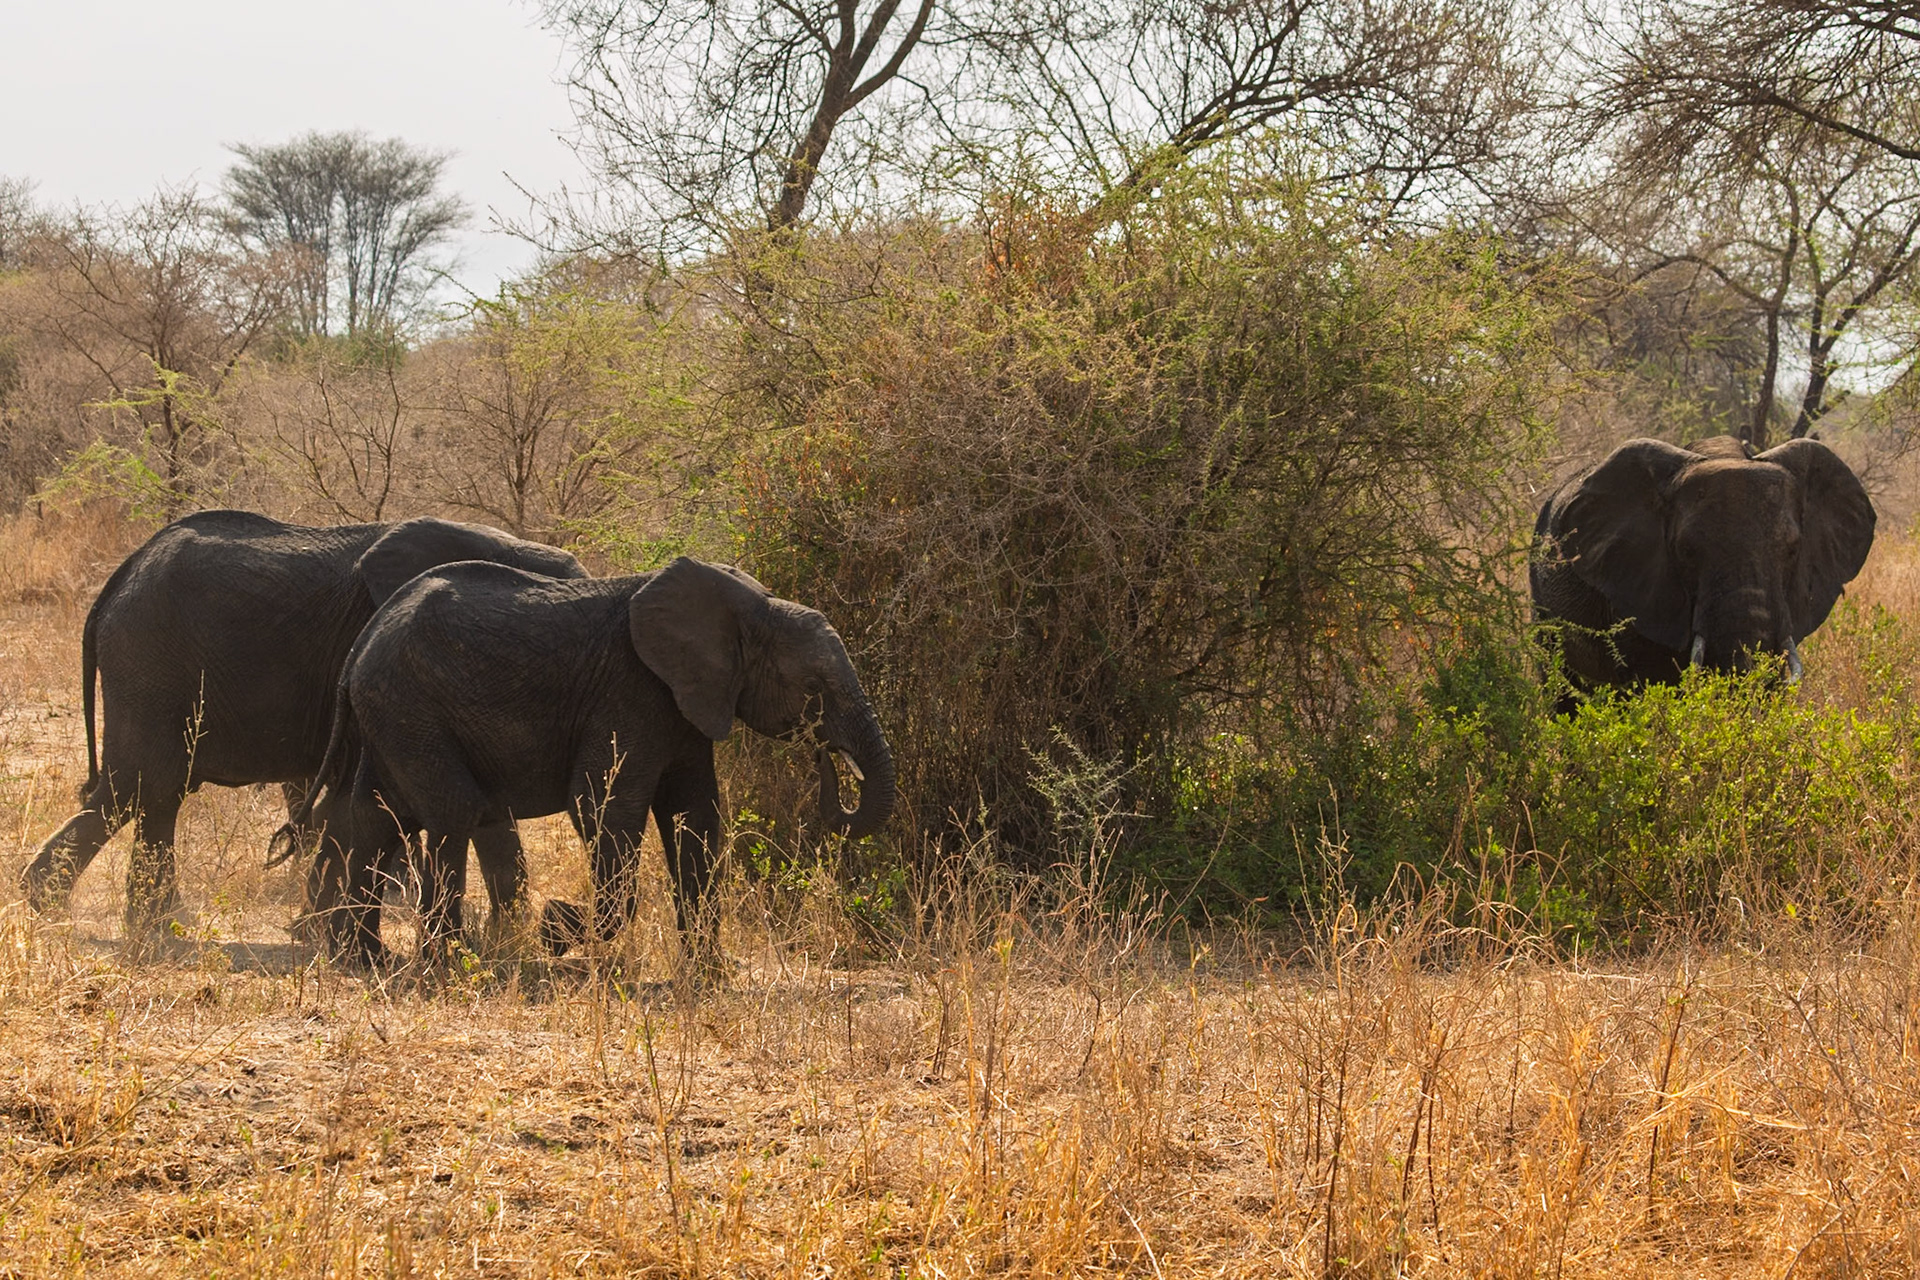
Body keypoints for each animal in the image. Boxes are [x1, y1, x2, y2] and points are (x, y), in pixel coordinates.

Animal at [23, 509, 589, 934]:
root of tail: (118, 578)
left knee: (154, 793)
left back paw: (147, 922)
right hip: (148, 661)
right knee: (142, 785)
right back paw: (73, 911)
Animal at [285, 555, 897, 969]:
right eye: (814, 688)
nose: (824, 753)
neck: (745, 606)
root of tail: (360, 645)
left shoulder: (684, 704)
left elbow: (694, 816)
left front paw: (709, 975)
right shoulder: (631, 692)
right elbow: (602, 804)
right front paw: (555, 929)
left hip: (390, 712)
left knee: (374, 816)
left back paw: (364, 959)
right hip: (410, 707)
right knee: (451, 810)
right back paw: (451, 963)